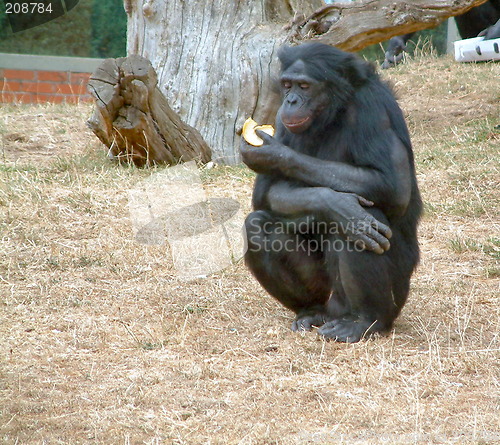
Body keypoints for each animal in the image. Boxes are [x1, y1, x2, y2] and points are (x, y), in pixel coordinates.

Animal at [242, 41, 422, 342]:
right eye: (287, 85)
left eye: (304, 86)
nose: (291, 100)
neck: (332, 113)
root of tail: (335, 311)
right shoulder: (280, 118)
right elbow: (265, 193)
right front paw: (328, 201)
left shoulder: (372, 108)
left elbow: (392, 184)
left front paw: (275, 154)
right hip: (327, 297)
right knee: (258, 226)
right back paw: (311, 311)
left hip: (395, 296)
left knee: (362, 223)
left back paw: (364, 320)